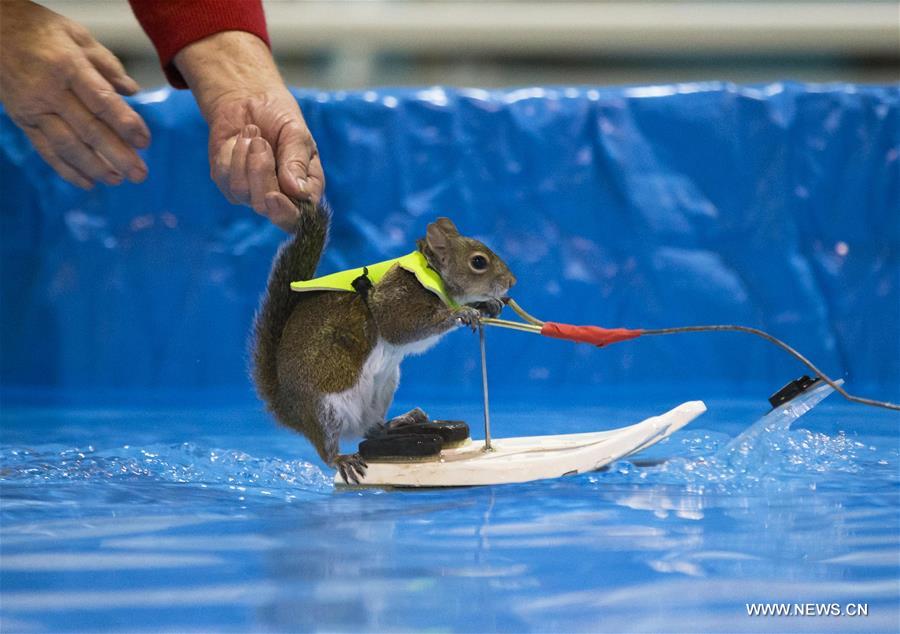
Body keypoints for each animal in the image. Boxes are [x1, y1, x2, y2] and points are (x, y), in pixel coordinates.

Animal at [250, 200, 516, 482]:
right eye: (478, 262)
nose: (512, 281)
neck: (429, 272)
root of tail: (287, 409)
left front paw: (487, 304)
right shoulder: (396, 302)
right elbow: (403, 328)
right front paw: (463, 312)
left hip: (382, 389)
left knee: (372, 430)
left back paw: (402, 420)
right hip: (323, 407)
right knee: (327, 445)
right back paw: (341, 458)